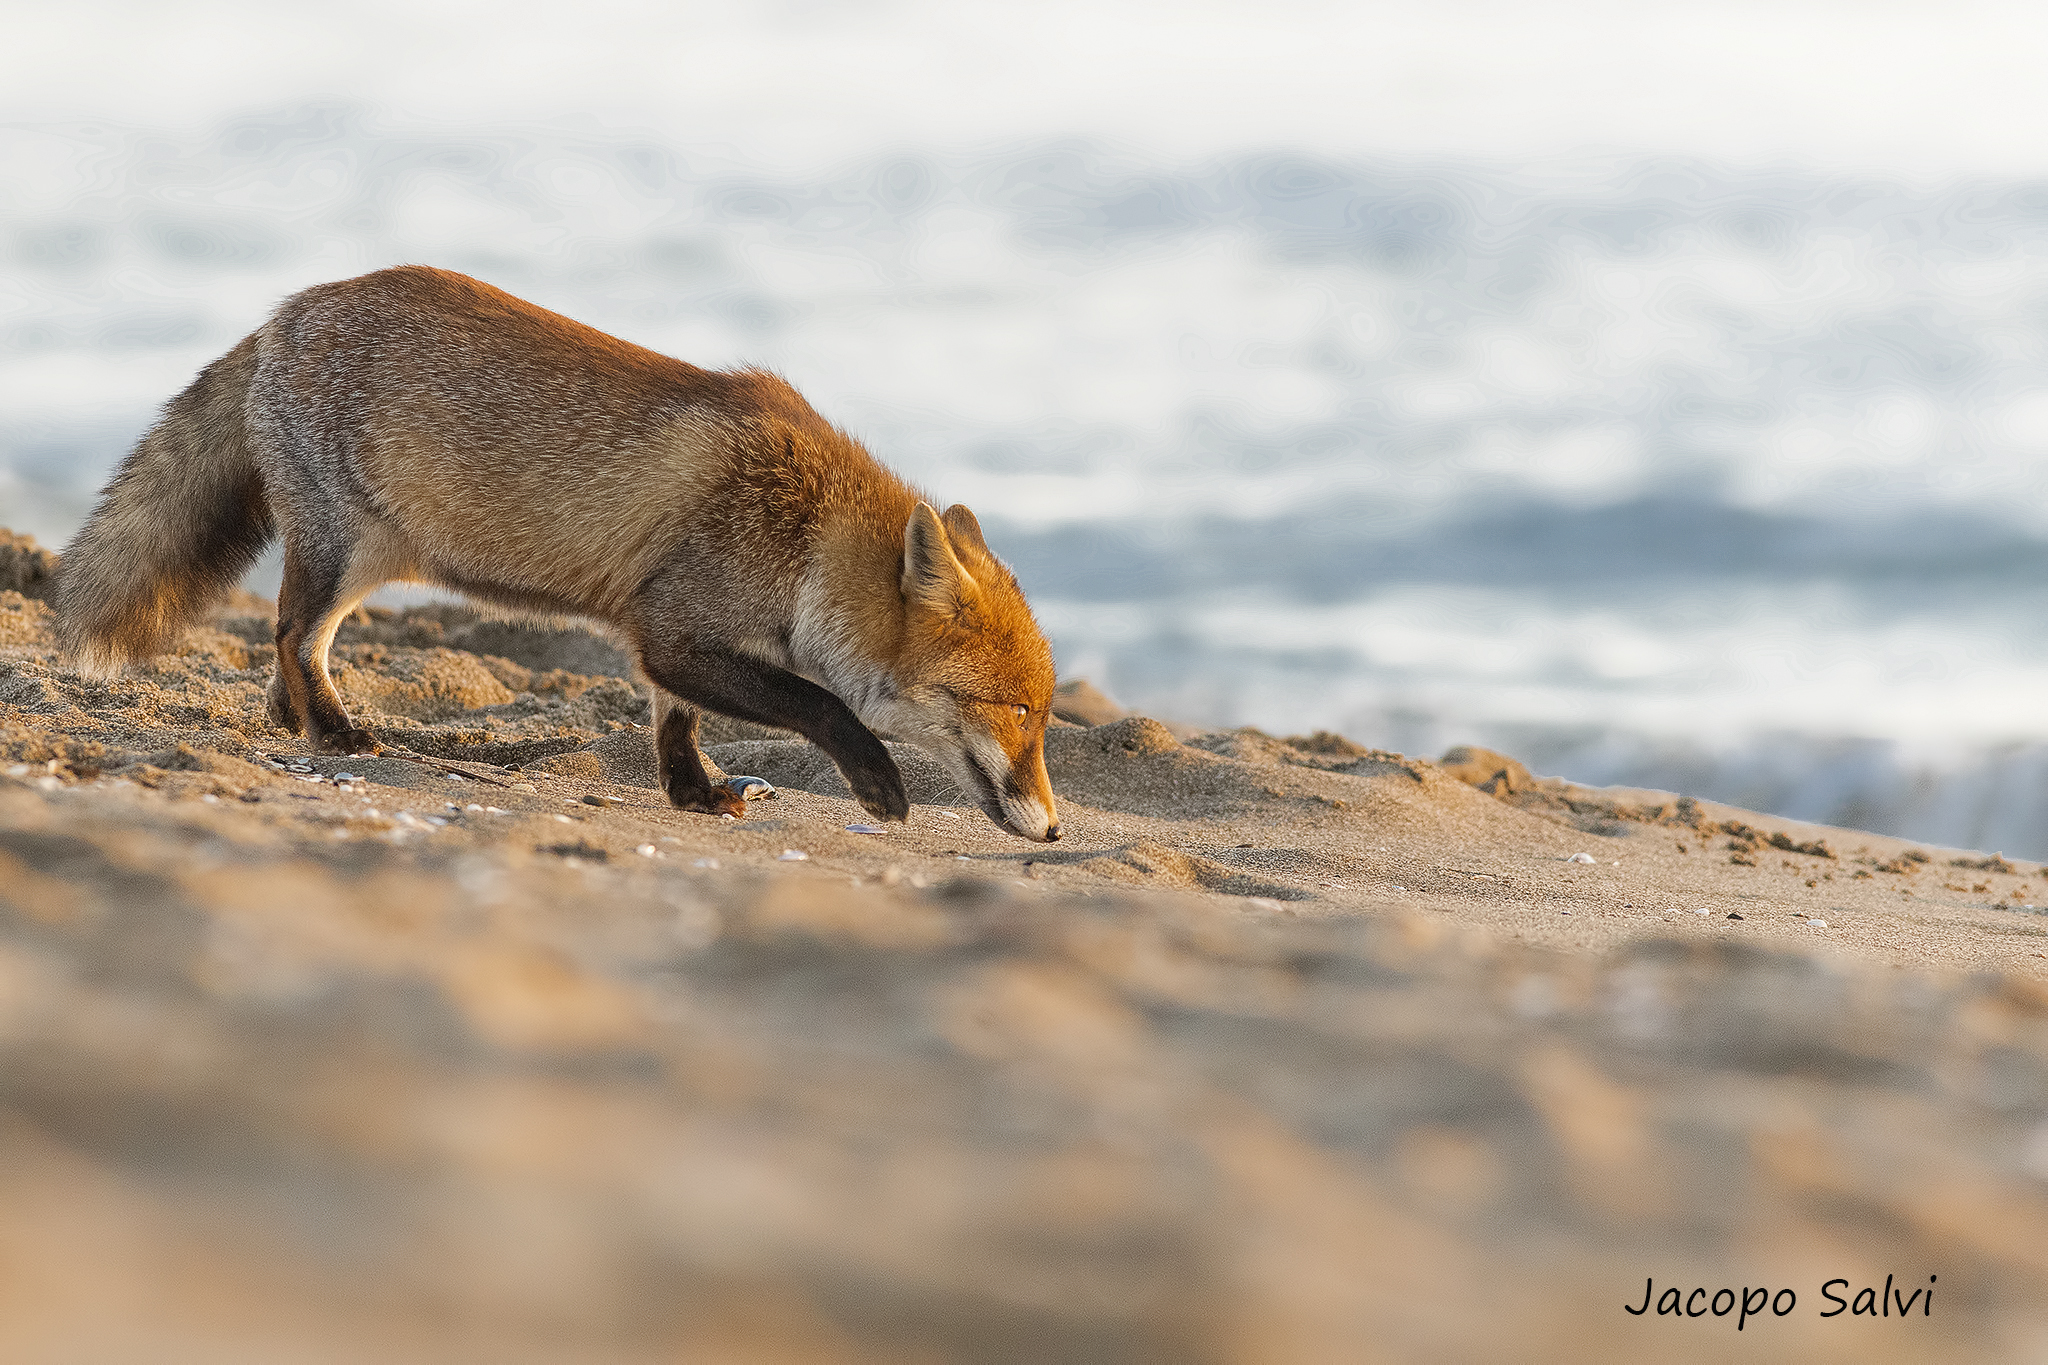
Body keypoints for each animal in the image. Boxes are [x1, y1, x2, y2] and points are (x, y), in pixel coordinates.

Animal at [55, 265, 1063, 841]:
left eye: (1044, 717)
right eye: (1015, 711)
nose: (1055, 832)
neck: (806, 541)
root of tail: (287, 310)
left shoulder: (668, 635)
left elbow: (674, 723)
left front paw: (695, 796)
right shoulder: (679, 631)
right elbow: (820, 704)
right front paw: (878, 785)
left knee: (290, 644)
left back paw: (294, 723)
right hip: (352, 548)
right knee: (293, 632)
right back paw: (336, 732)